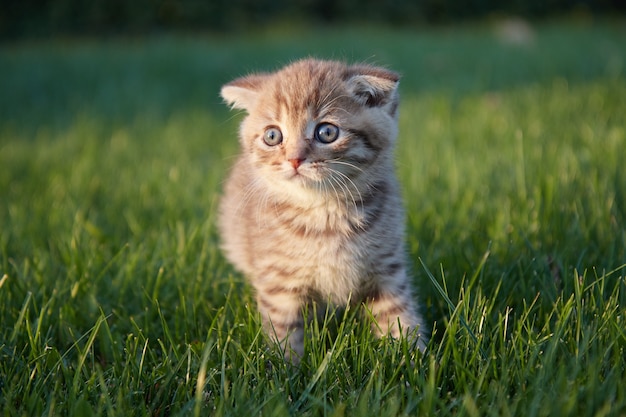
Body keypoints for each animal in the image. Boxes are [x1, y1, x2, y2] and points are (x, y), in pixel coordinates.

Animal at [217, 58, 426, 360]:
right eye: (272, 136)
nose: (294, 159)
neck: (325, 215)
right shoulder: (280, 284)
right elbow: (284, 333)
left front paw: (415, 360)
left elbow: (400, 317)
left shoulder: (387, 270)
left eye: (326, 132)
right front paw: (283, 368)